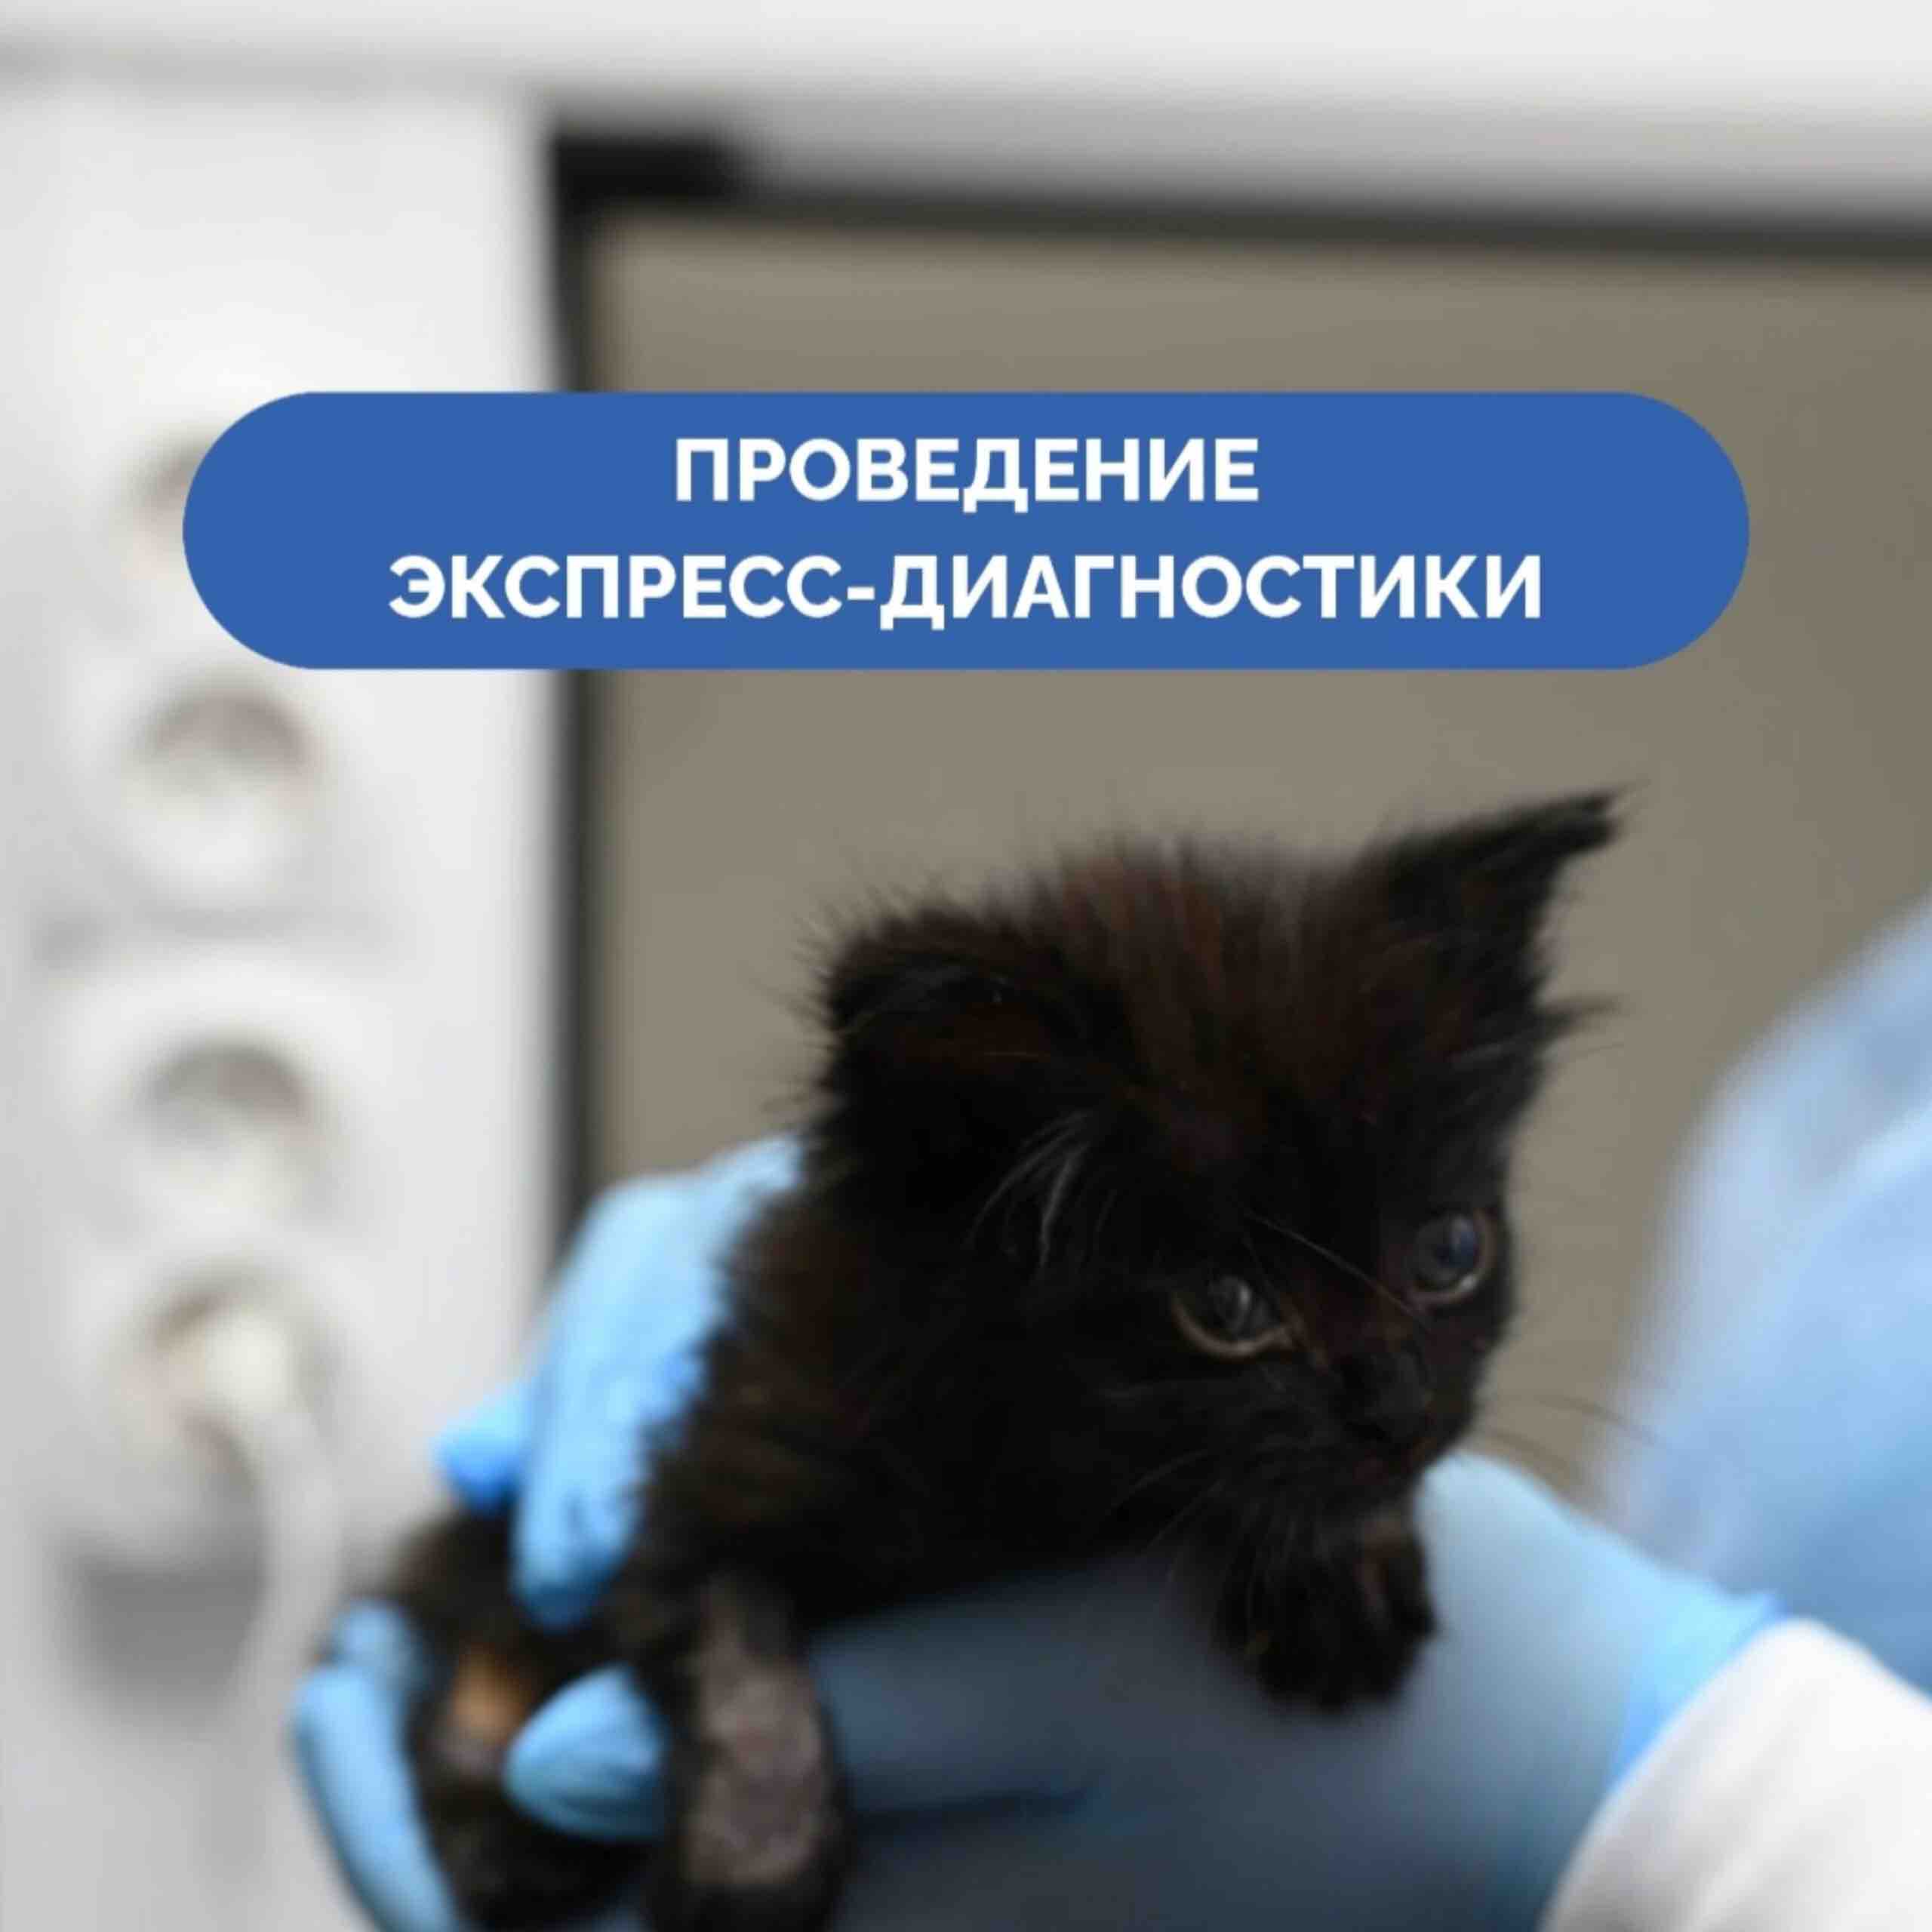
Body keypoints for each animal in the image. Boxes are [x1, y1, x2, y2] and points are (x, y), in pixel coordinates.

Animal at [378, 792, 1616, 1930]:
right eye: (1226, 1307)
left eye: (1449, 1250)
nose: (1403, 1410)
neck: (1036, 1484)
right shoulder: (715, 1469)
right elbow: (731, 1639)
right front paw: (754, 1859)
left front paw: (1334, 1565)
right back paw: (499, 1823)